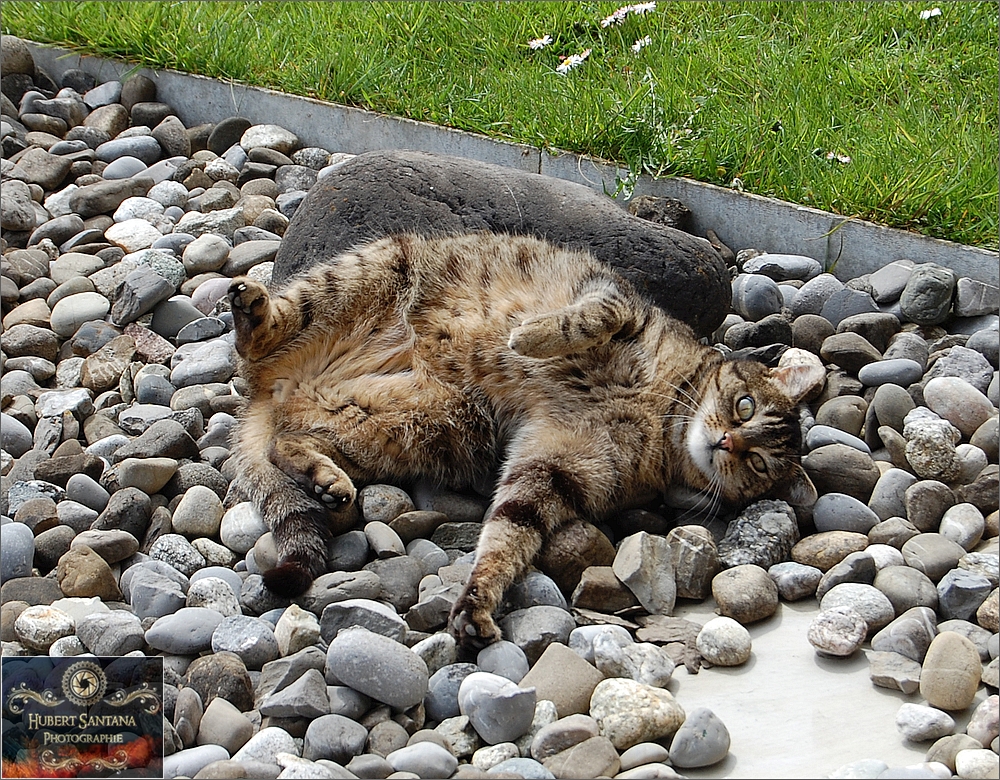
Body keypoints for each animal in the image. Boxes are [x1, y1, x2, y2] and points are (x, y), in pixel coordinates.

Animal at [227, 235, 820, 648]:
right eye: (744, 406)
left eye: (759, 464)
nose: (726, 442)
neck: (664, 415)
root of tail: (270, 389)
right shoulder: (618, 301)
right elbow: (592, 317)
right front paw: (530, 337)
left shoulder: (557, 467)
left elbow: (510, 531)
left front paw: (478, 601)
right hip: (369, 271)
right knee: (259, 343)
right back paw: (254, 309)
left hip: (419, 425)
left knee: (283, 441)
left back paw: (326, 478)